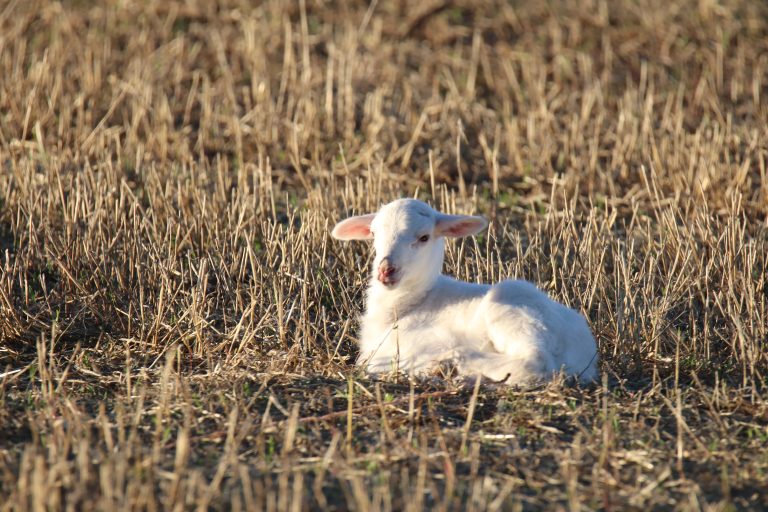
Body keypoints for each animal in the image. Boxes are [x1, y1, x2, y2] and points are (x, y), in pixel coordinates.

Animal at [331, 198, 599, 385]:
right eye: (374, 233)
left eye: (424, 237)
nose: (386, 269)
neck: (410, 303)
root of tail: (585, 351)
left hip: (514, 305)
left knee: (535, 361)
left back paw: (454, 364)